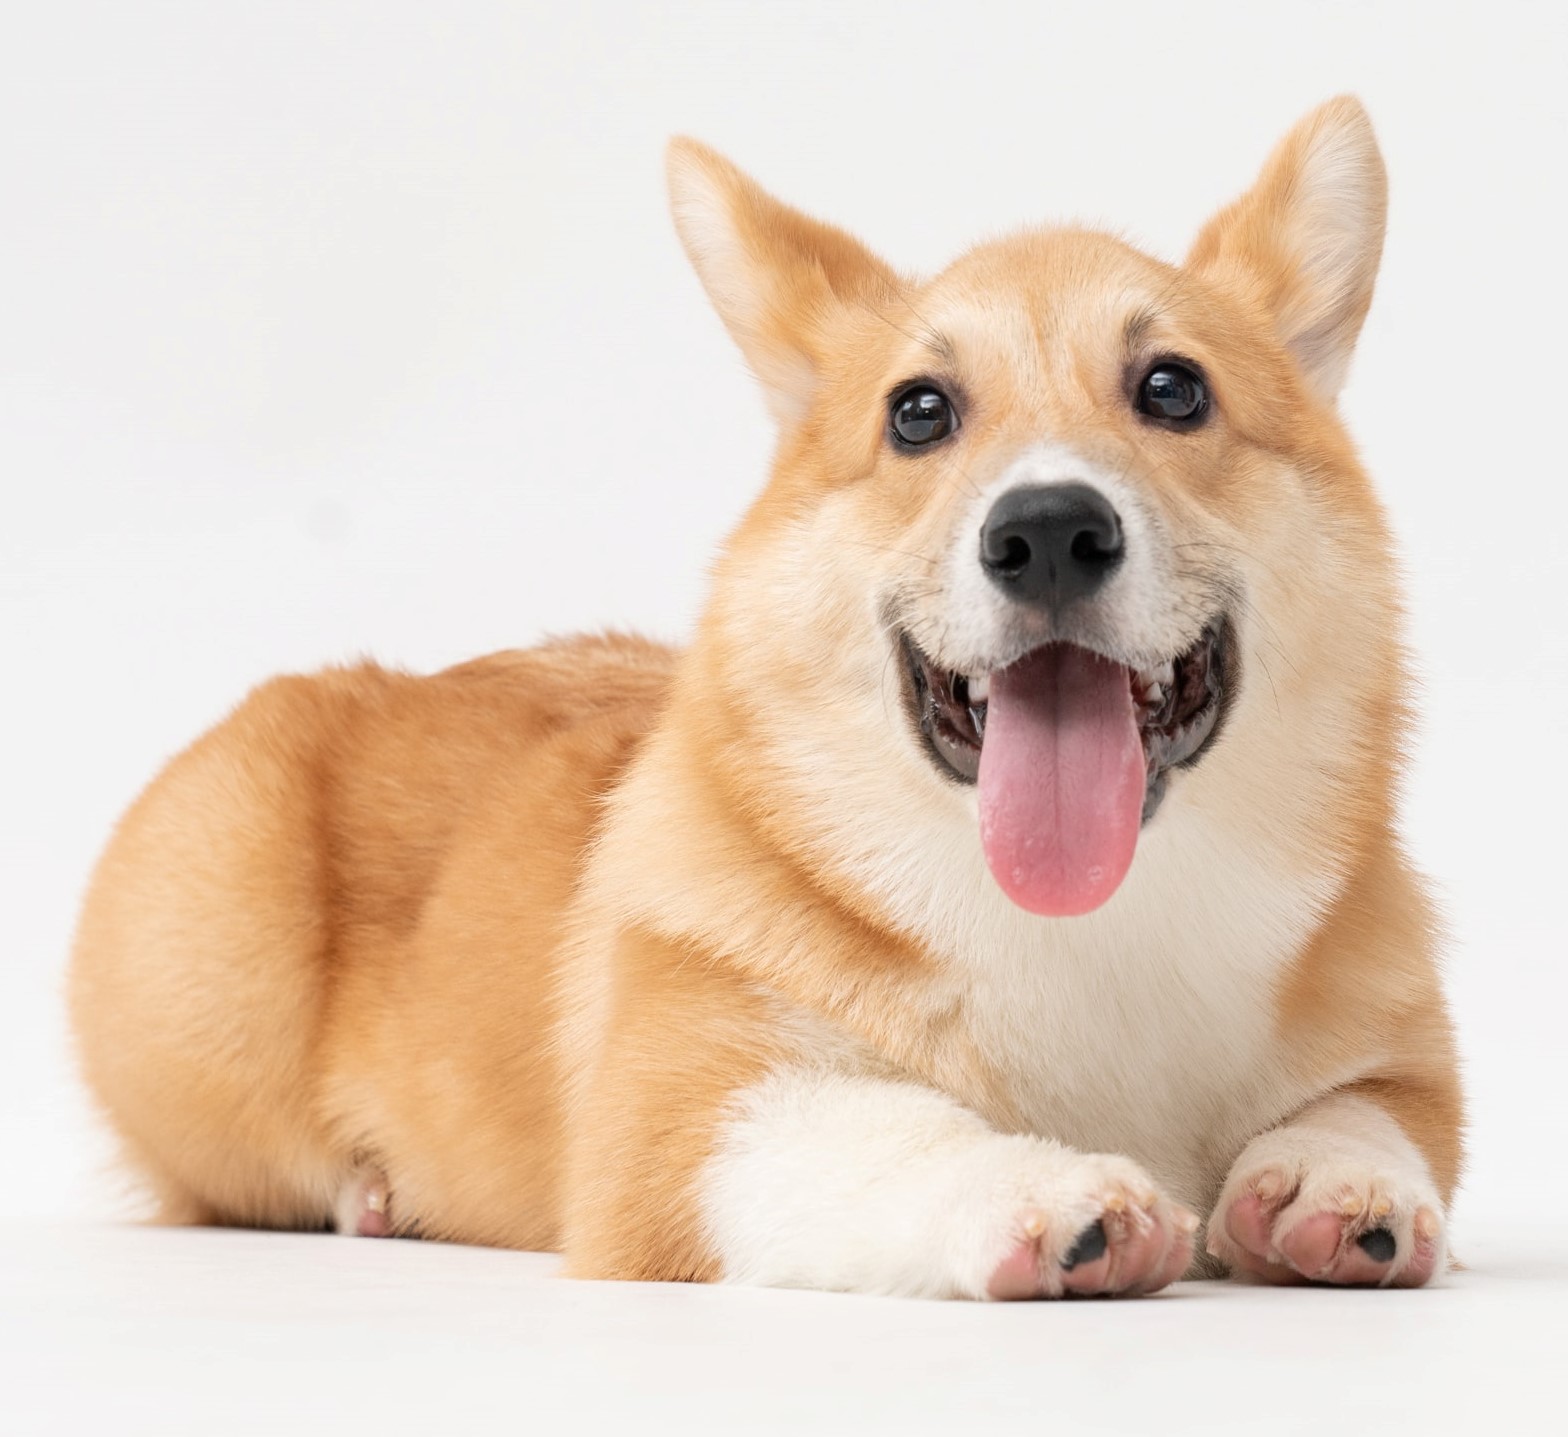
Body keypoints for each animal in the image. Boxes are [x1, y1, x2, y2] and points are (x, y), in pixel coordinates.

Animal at [67, 95, 1461, 1298]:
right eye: (917, 413)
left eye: (1173, 389)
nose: (1048, 533)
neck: (1086, 928)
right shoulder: (690, 1127)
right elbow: (888, 1128)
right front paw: (1042, 1192)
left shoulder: (1402, 1058)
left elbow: (1369, 1115)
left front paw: (1332, 1187)